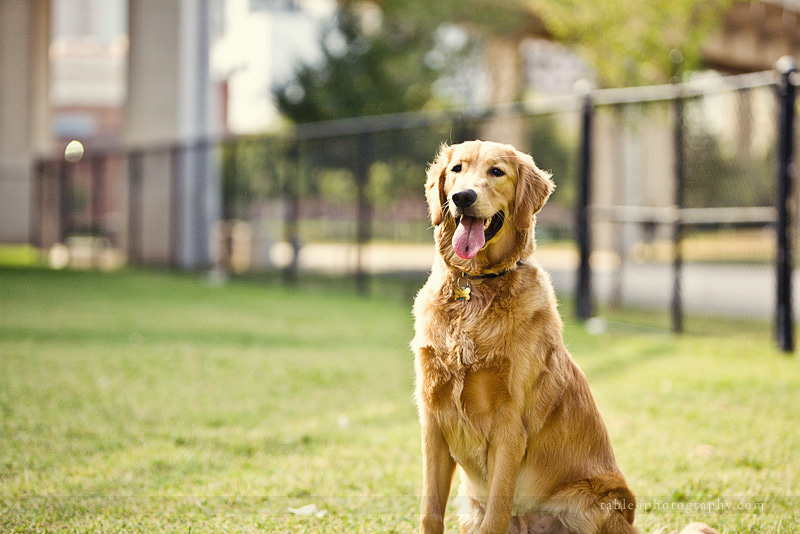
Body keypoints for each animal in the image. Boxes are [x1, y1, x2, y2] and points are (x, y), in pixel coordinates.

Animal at [412, 140, 636, 532]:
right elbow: (430, 510)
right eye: (456, 169)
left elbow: (498, 513)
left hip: (597, 503)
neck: (473, 287)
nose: (462, 197)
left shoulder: (509, 423)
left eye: (496, 172)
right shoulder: (433, 419)